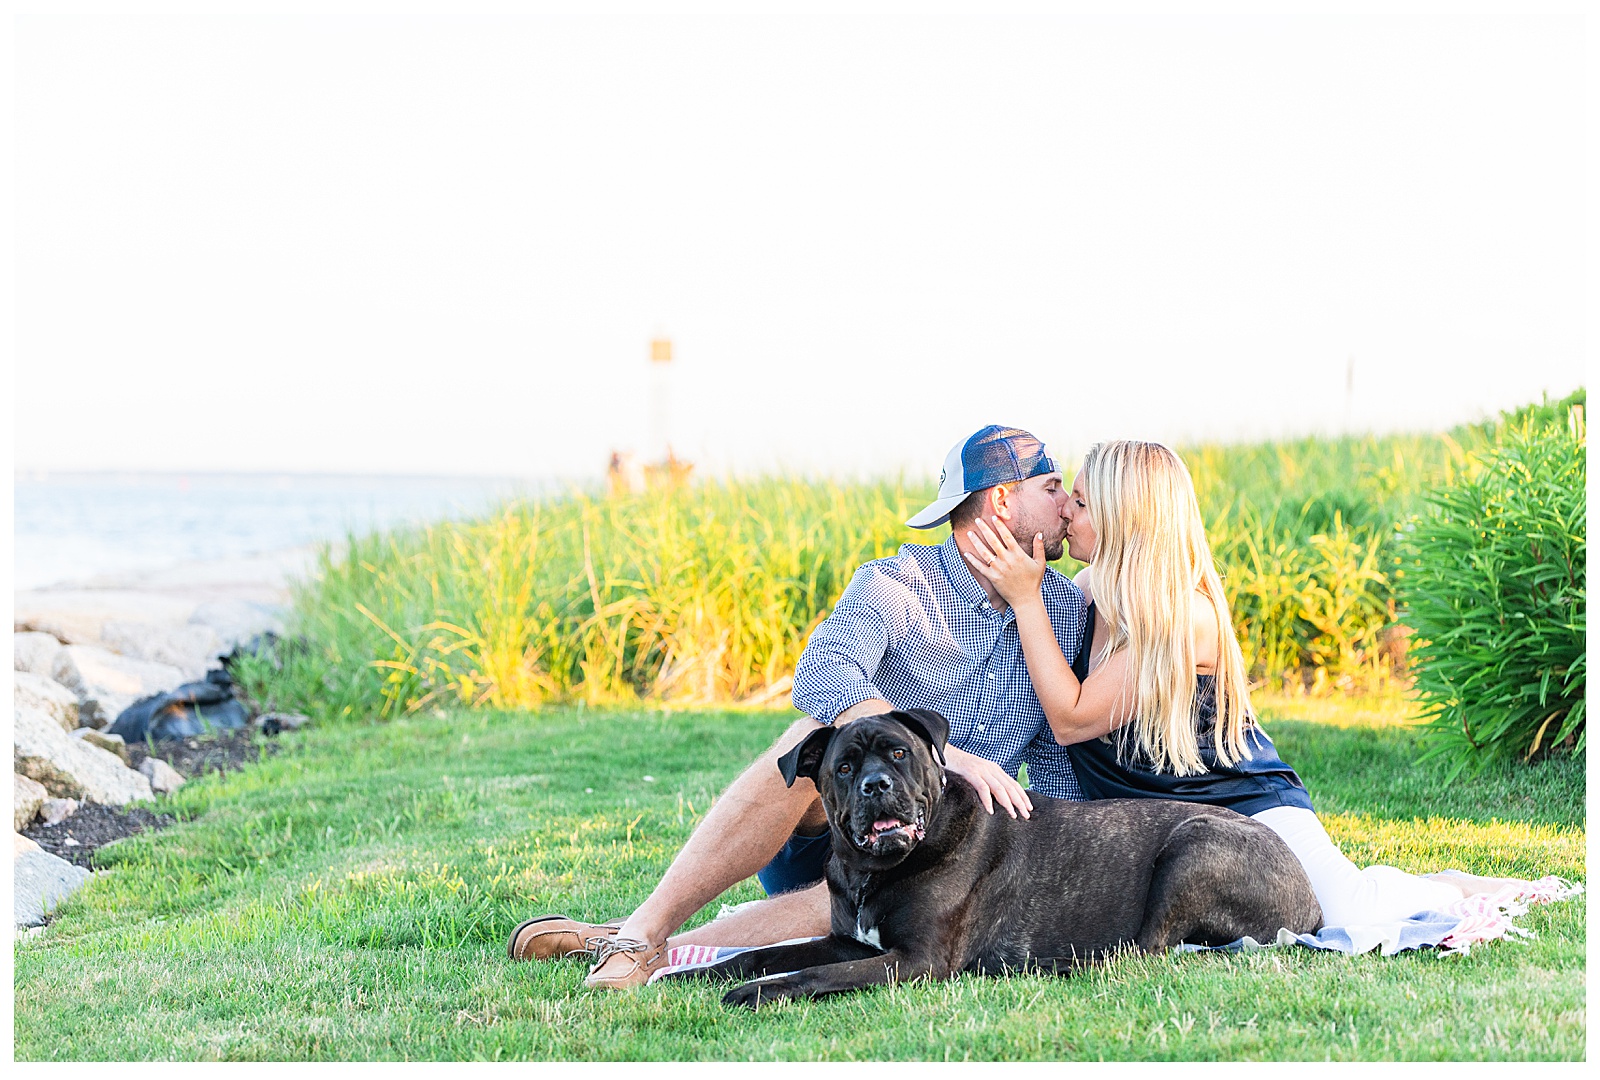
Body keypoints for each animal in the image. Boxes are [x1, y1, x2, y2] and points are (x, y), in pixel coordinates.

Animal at [668, 713, 1318, 1011]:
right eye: (844, 767)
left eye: (899, 754)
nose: (877, 786)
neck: (873, 872)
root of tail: (1311, 902)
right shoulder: (849, 942)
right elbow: (763, 954)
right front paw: (687, 973)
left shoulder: (916, 962)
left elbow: (810, 976)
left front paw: (755, 994)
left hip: (1190, 847)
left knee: (1143, 951)